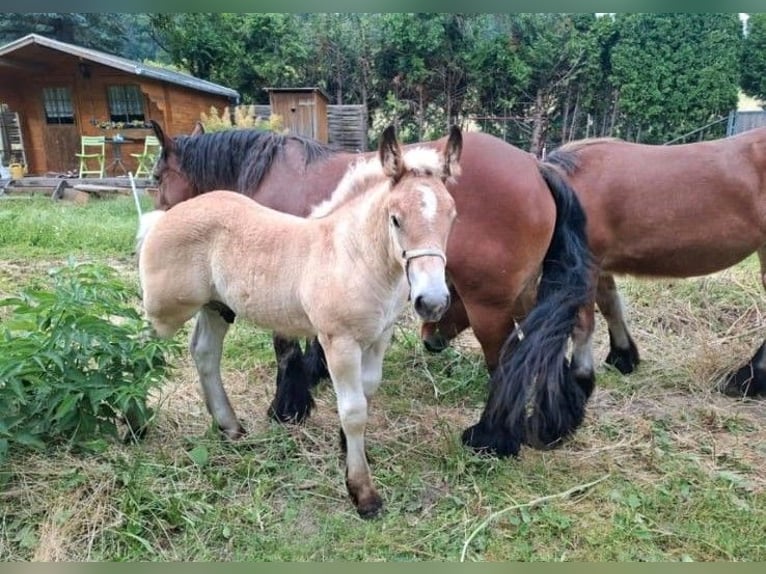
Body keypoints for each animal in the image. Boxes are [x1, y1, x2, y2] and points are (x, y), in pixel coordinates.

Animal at [138, 125, 461, 517]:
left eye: (452, 216)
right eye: (395, 218)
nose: (432, 301)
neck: (351, 254)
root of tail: (164, 217)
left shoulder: (378, 337)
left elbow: (367, 393)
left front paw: (348, 449)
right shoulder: (338, 342)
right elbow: (354, 409)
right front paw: (362, 492)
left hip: (215, 308)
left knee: (204, 353)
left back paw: (230, 427)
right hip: (163, 311)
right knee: (135, 348)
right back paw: (132, 421)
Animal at [150, 120, 594, 457]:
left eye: (156, 177)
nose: (159, 228)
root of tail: (535, 167)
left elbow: (285, 348)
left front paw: (288, 407)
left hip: (490, 306)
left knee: (507, 361)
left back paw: (491, 438)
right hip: (526, 295)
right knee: (544, 349)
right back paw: (554, 421)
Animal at [423, 127, 766, 400]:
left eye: (453, 292)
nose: (428, 340)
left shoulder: (587, 266)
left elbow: (584, 322)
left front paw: (581, 378)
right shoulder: (600, 267)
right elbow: (611, 306)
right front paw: (623, 356)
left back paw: (748, 379)